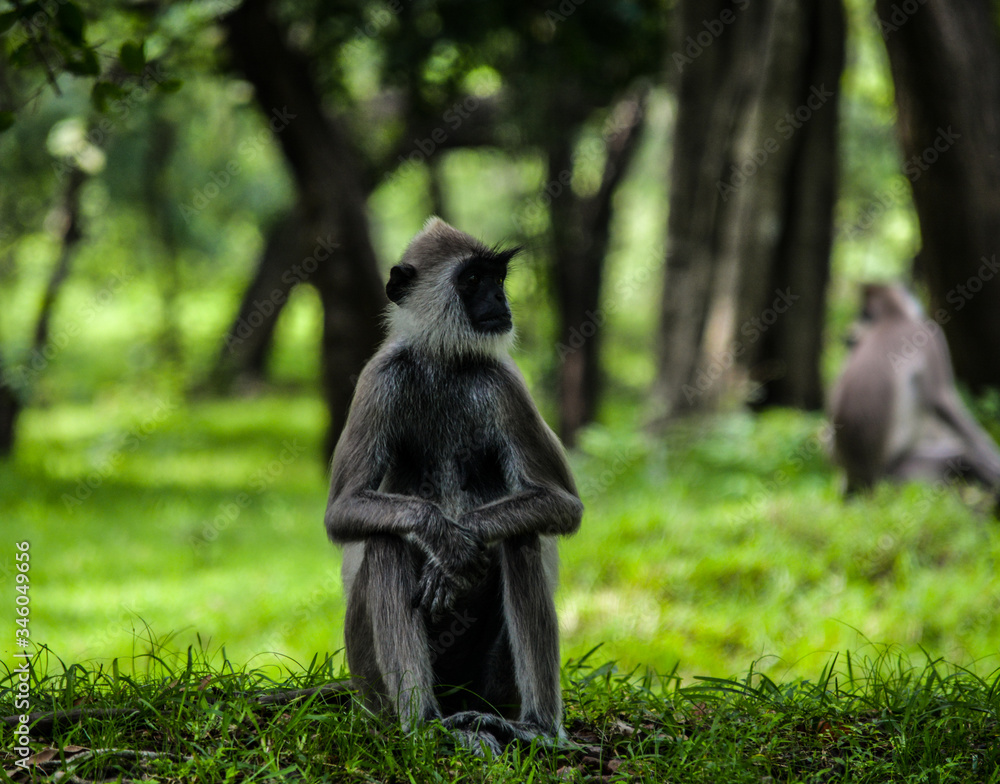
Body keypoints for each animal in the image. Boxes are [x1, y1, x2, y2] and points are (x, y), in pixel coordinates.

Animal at [324, 217, 584, 754]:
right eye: (472, 280)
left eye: (497, 278)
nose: (500, 300)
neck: (444, 360)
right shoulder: (380, 378)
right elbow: (344, 510)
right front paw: (444, 537)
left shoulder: (503, 382)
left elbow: (560, 503)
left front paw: (459, 545)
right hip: (369, 684)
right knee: (384, 537)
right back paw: (423, 724)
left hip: (490, 688)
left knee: (521, 535)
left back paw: (535, 728)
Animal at [830, 283, 1000, 498]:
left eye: (860, 314)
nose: (851, 334)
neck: (892, 319)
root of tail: (865, 481)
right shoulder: (929, 333)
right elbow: (942, 399)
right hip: (901, 471)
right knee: (964, 457)